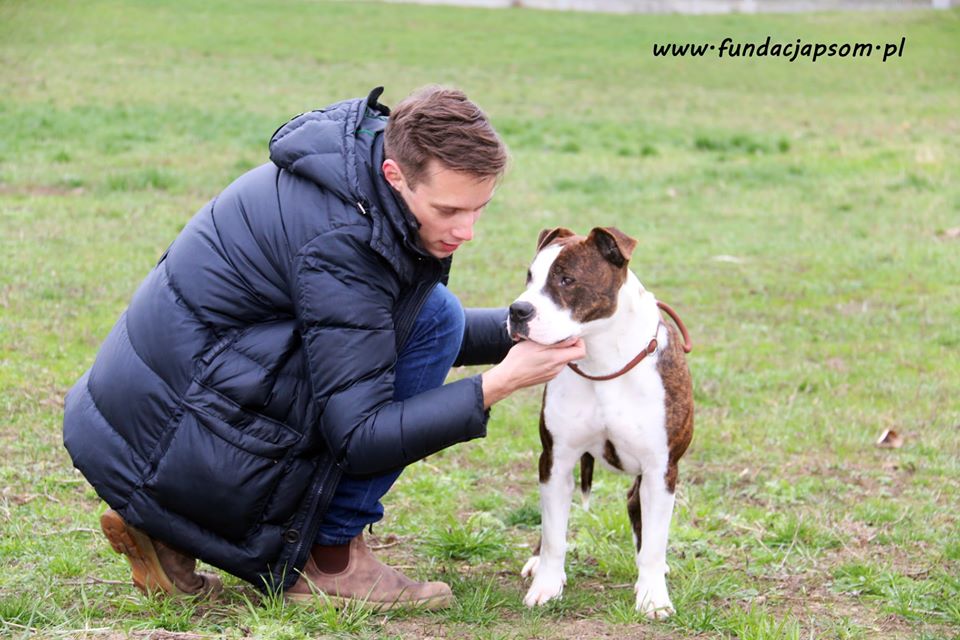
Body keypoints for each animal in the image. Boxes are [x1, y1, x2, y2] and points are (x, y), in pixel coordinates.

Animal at [507, 226, 694, 619]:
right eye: (529, 277)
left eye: (566, 279)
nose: (517, 310)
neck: (602, 359)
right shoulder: (555, 461)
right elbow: (554, 536)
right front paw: (546, 585)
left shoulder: (661, 469)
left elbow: (654, 541)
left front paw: (653, 596)